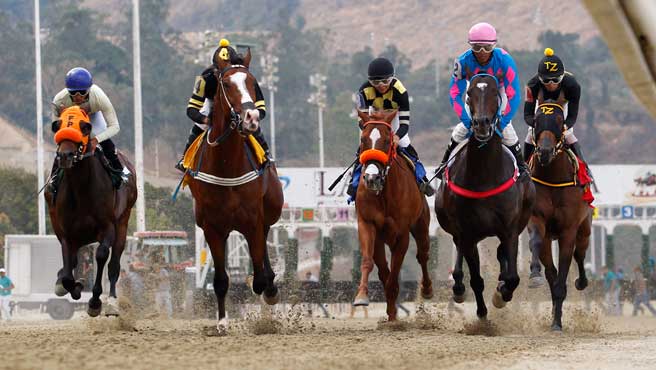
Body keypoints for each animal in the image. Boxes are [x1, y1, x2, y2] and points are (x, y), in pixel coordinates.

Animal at [44, 105, 137, 316]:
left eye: (84, 128)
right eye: (58, 126)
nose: (65, 156)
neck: (81, 189)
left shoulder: (108, 226)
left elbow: (101, 255)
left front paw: (95, 302)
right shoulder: (66, 233)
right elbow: (68, 271)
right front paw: (74, 286)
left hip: (123, 222)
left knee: (114, 264)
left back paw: (111, 302)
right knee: (72, 262)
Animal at [187, 49, 284, 332]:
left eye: (253, 83)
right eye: (227, 84)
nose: (251, 118)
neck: (227, 164)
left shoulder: (252, 220)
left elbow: (259, 277)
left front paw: (268, 288)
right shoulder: (212, 227)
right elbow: (220, 280)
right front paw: (221, 322)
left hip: (269, 211)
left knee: (264, 246)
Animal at [354, 108, 436, 320]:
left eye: (386, 140)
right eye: (363, 139)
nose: (371, 178)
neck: (384, 193)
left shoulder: (401, 234)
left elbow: (393, 277)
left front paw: (393, 316)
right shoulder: (368, 224)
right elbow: (369, 263)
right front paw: (362, 296)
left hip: (421, 224)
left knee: (423, 254)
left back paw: (427, 289)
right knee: (384, 270)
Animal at [436, 74, 532, 318]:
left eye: (495, 93)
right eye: (469, 93)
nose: (481, 123)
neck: (484, 176)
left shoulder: (510, 229)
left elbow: (512, 277)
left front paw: (500, 295)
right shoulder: (467, 232)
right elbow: (476, 279)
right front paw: (481, 312)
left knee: (501, 255)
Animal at [524, 102, 592, 330]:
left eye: (559, 121)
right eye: (537, 121)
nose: (544, 152)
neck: (552, 177)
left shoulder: (568, 230)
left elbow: (566, 263)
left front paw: (557, 323)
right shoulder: (537, 220)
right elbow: (536, 242)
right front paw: (534, 274)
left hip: (585, 228)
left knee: (580, 254)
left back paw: (581, 282)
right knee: (551, 271)